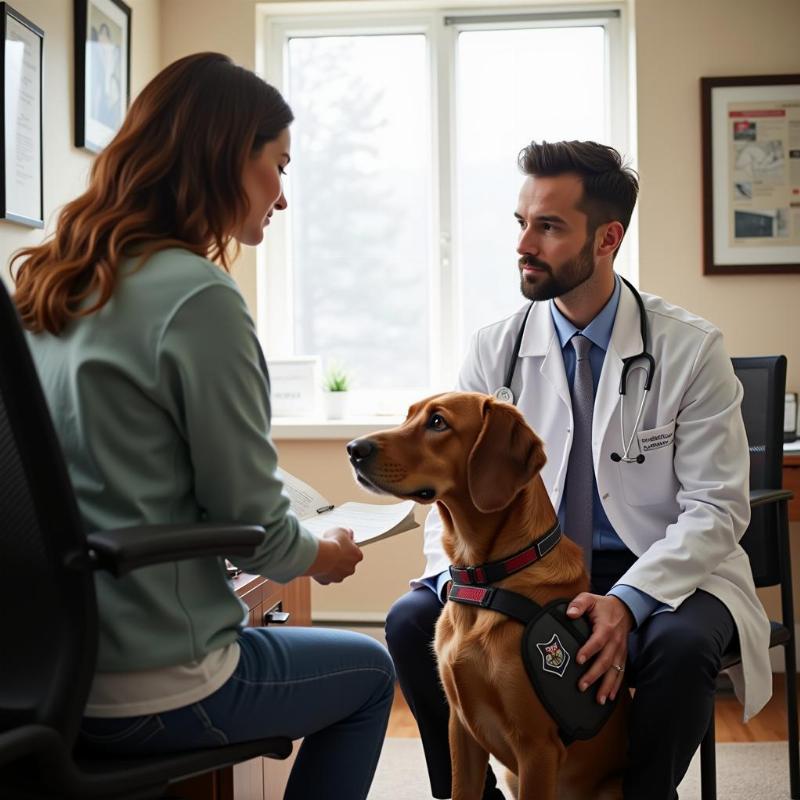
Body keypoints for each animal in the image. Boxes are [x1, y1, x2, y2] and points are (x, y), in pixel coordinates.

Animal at [346, 392, 628, 800]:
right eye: (408, 415)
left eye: (437, 422)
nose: (354, 448)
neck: (485, 580)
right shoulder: (460, 729)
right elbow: (463, 789)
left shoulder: (537, 747)